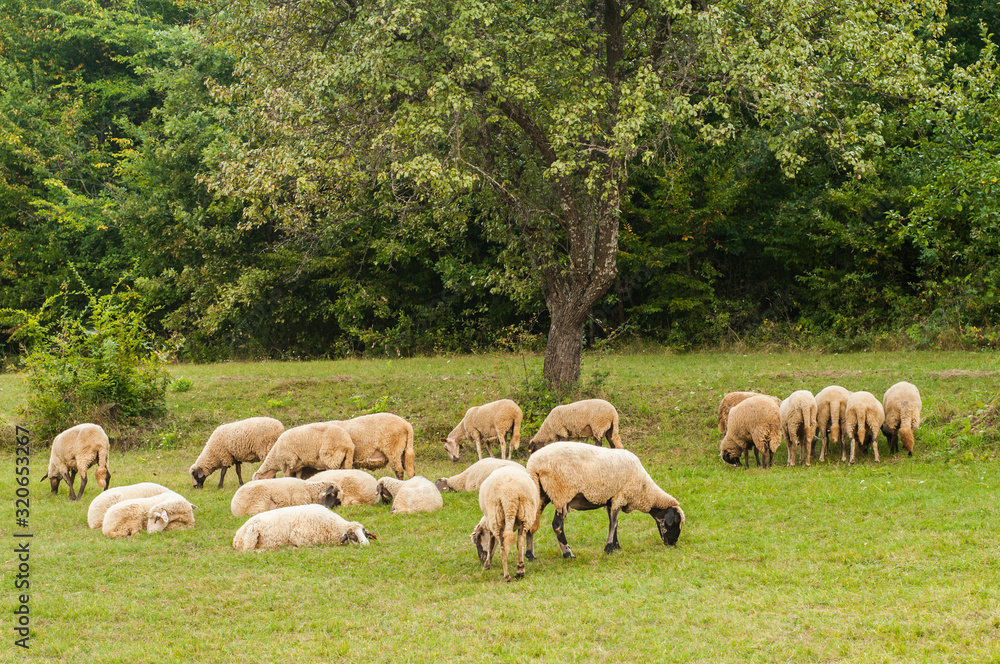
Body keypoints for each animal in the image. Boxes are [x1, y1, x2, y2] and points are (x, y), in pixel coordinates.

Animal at [232, 504, 376, 551]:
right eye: (352, 535)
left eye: (364, 533)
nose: (366, 544)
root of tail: (236, 537)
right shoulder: (298, 536)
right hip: (251, 536)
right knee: (248, 551)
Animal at [524, 441, 684, 560]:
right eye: (675, 522)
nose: (672, 544)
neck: (644, 490)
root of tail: (534, 465)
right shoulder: (620, 496)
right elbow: (613, 523)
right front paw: (609, 548)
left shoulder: (611, 500)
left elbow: (615, 523)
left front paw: (616, 546)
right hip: (561, 494)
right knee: (557, 525)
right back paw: (568, 554)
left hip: (540, 495)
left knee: (531, 522)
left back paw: (530, 555)